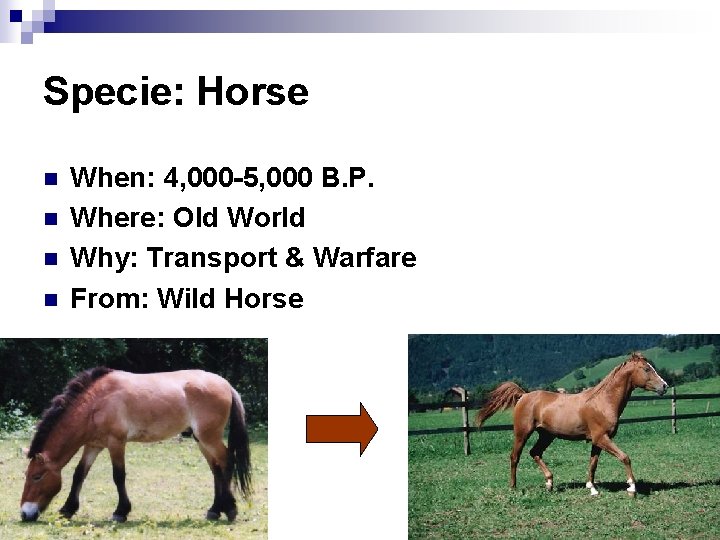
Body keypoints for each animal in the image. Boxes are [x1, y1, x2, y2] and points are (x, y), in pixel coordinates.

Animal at [20, 367, 251, 523]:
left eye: (37, 476)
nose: (24, 513)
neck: (96, 402)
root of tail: (226, 385)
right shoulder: (93, 445)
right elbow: (79, 474)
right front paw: (68, 508)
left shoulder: (116, 443)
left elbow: (118, 476)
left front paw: (120, 512)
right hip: (201, 440)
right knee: (216, 469)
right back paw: (215, 510)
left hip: (209, 438)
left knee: (227, 461)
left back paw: (230, 509)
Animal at [475, 352, 668, 496]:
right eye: (646, 369)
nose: (664, 386)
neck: (603, 402)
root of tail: (523, 395)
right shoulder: (602, 438)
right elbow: (625, 457)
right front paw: (632, 488)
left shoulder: (597, 441)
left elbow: (593, 464)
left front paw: (592, 488)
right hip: (522, 433)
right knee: (515, 456)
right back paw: (513, 487)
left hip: (547, 435)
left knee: (535, 452)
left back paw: (549, 483)